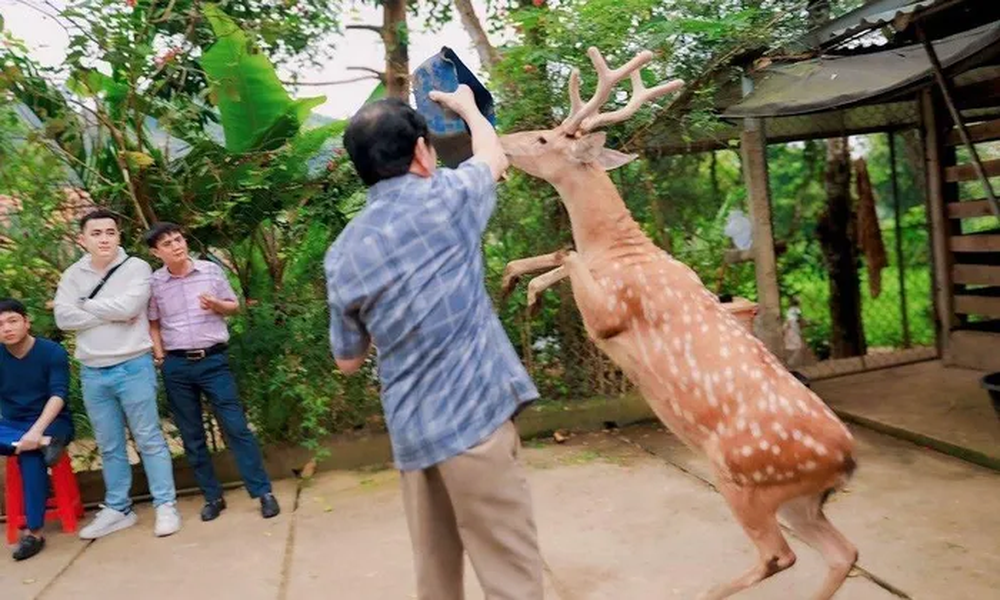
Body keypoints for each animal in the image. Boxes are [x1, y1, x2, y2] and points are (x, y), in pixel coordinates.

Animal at [500, 47, 860, 600]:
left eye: (545, 138)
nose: (501, 142)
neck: (627, 251)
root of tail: (847, 461)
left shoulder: (611, 317)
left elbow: (567, 254)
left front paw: (531, 291)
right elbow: (562, 255)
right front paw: (516, 283)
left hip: (743, 477)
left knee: (780, 555)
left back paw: (706, 592)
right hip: (802, 500)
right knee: (843, 552)